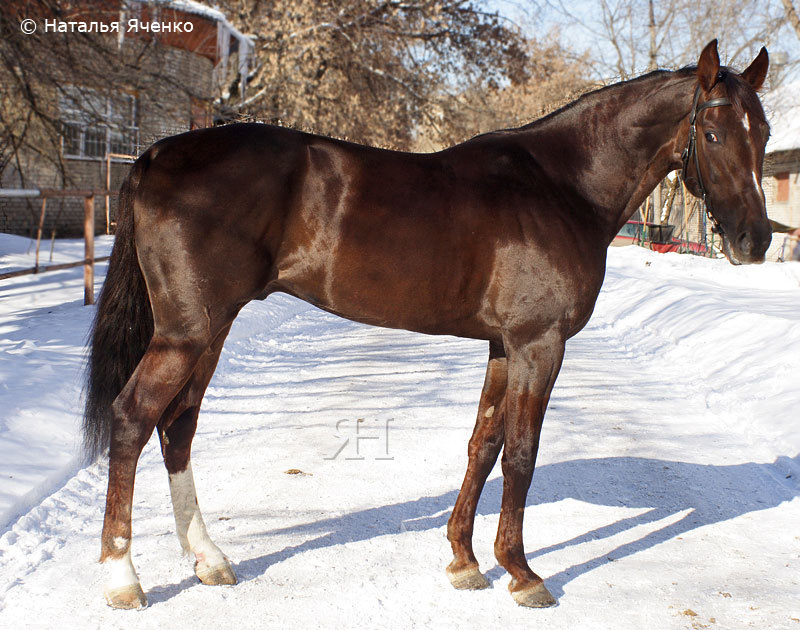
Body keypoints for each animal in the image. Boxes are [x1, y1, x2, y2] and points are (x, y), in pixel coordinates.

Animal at [84, 40, 772, 612]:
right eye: (713, 132)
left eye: (762, 132)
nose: (756, 241)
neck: (561, 186)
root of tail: (159, 153)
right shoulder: (539, 345)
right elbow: (522, 453)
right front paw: (522, 573)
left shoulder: (503, 345)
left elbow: (483, 444)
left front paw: (465, 561)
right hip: (188, 333)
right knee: (133, 418)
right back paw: (122, 578)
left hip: (210, 329)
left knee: (178, 426)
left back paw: (208, 560)